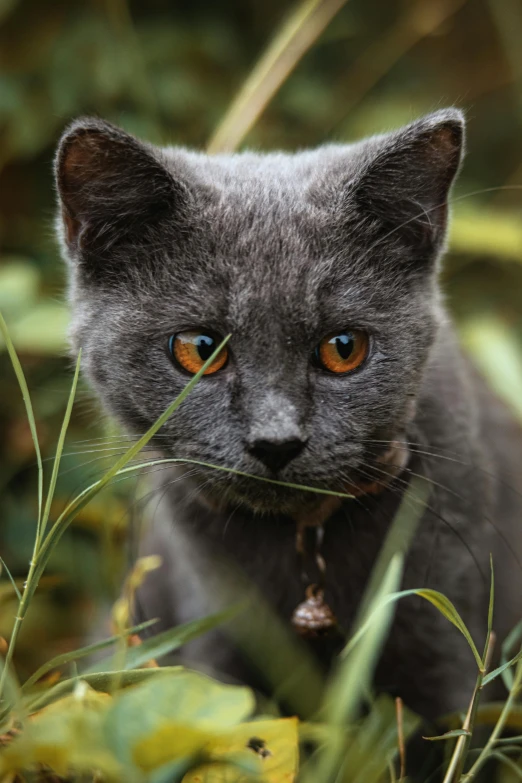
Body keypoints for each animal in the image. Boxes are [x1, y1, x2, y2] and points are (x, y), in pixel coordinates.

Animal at [54, 110, 520, 724]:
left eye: (344, 347)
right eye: (200, 349)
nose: (276, 441)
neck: (301, 551)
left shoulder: (447, 642)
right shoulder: (218, 636)